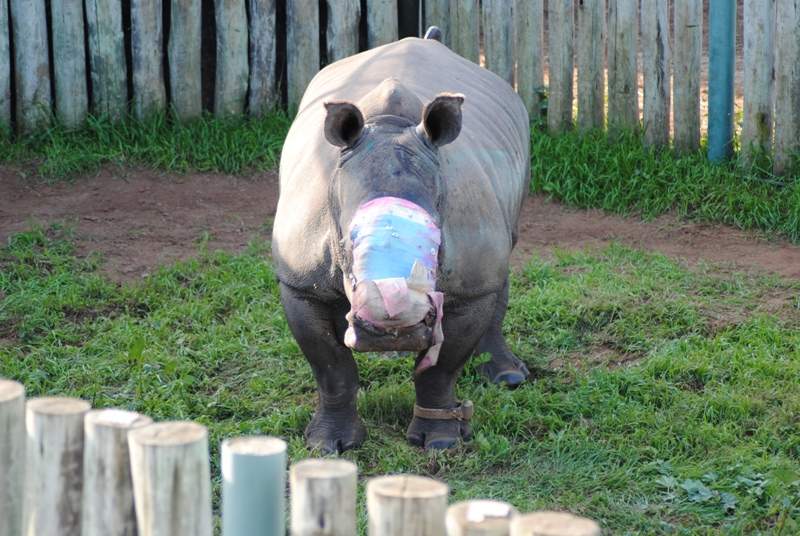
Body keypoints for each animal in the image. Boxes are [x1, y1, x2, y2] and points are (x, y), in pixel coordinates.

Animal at [272, 29, 530, 452]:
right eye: (347, 250)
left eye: (437, 249)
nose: (393, 328)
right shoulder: (299, 282)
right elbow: (331, 368)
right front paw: (328, 445)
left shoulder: (470, 285)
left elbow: (441, 368)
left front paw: (439, 441)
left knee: (504, 260)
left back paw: (509, 378)